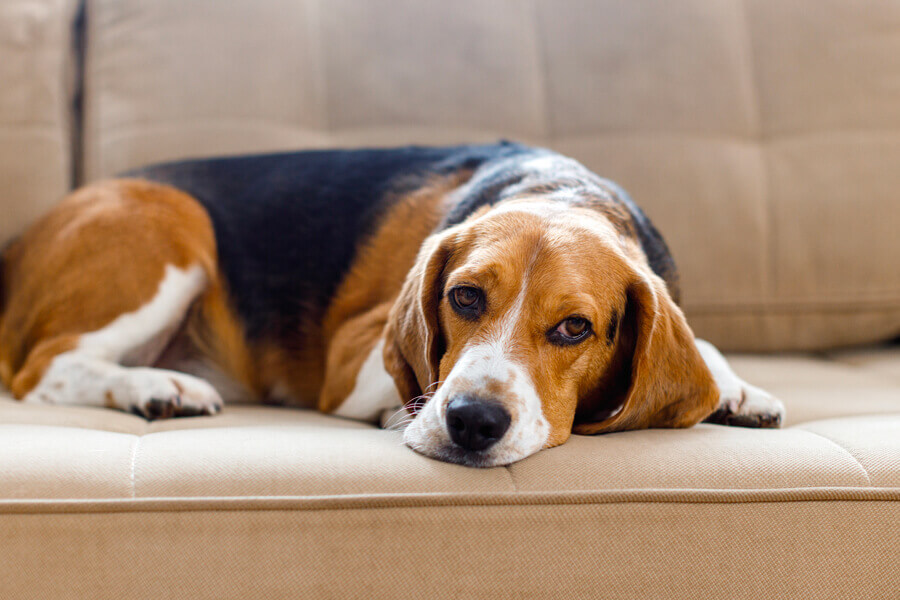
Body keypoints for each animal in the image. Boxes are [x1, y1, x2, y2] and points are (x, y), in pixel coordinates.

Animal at [0, 143, 780, 466]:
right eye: (464, 296)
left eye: (574, 328)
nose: (472, 422)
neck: (559, 191)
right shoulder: (351, 357)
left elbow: (704, 347)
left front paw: (736, 388)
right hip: (174, 224)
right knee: (44, 371)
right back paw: (158, 387)